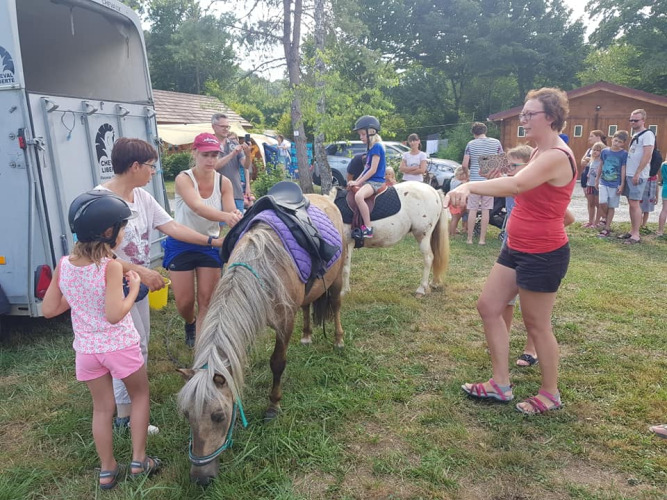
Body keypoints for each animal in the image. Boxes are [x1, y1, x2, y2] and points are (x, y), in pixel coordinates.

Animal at [177, 193, 346, 486]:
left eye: (219, 416)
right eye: (187, 415)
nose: (201, 478)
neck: (264, 267)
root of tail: (326, 196)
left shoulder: (284, 323)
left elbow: (277, 363)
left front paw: (273, 406)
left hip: (335, 282)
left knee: (335, 306)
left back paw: (338, 340)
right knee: (307, 306)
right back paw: (307, 336)